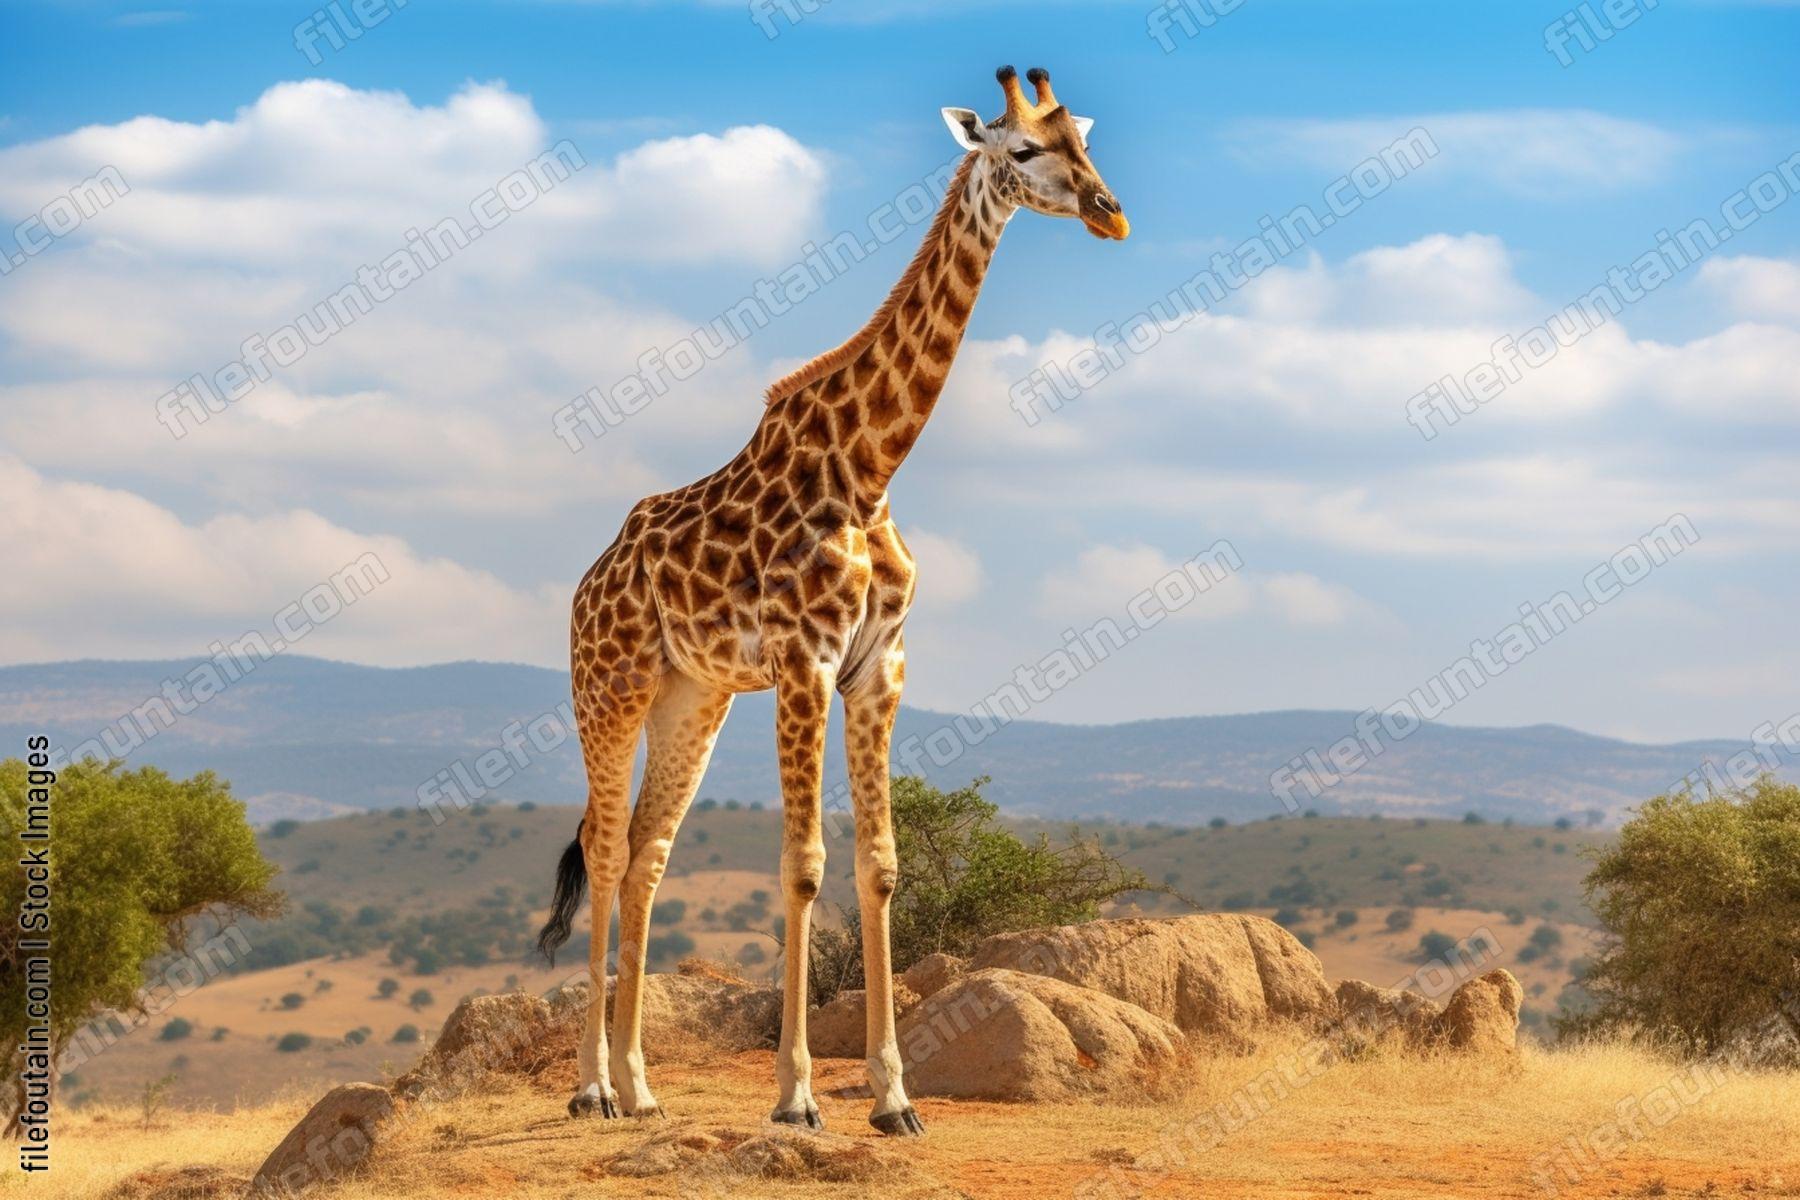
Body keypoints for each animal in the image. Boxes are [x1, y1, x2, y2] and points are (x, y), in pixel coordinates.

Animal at [535, 64, 1128, 1137]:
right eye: (1023, 150)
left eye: (1087, 145)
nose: (1110, 212)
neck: (870, 467)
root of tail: (589, 579)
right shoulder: (803, 660)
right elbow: (804, 863)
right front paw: (797, 1097)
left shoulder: (877, 664)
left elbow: (879, 865)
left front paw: (895, 1099)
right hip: (609, 687)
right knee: (601, 848)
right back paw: (593, 1086)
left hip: (694, 698)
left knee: (648, 852)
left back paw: (641, 1087)